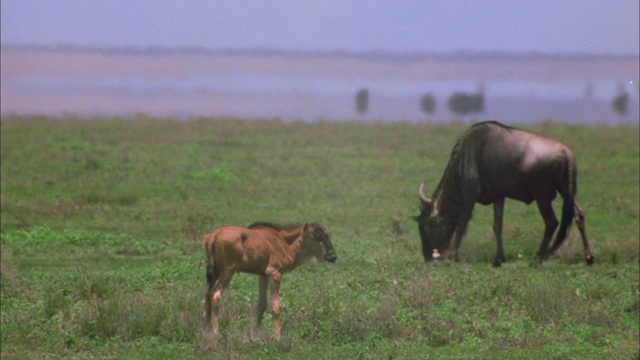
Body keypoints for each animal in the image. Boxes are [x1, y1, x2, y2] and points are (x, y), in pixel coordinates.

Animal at [205, 221, 338, 338]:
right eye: (316, 236)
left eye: (326, 234)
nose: (333, 255)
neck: (284, 241)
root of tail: (214, 235)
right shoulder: (275, 273)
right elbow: (276, 306)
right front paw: (278, 337)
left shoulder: (263, 275)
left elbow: (262, 304)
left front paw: (257, 333)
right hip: (227, 271)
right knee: (216, 295)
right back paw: (216, 333)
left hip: (215, 273)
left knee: (208, 295)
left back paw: (206, 328)